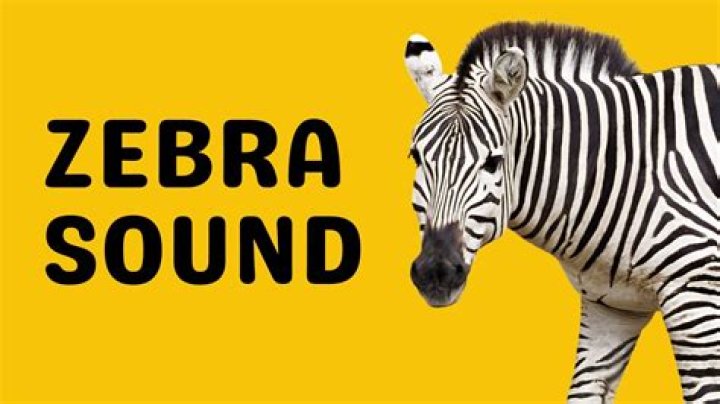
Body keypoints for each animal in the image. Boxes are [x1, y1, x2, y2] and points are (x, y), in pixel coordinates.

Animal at [403, 22, 719, 402]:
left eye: (493, 162)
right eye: (416, 157)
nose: (435, 274)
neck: (626, 170)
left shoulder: (697, 292)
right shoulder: (612, 307)